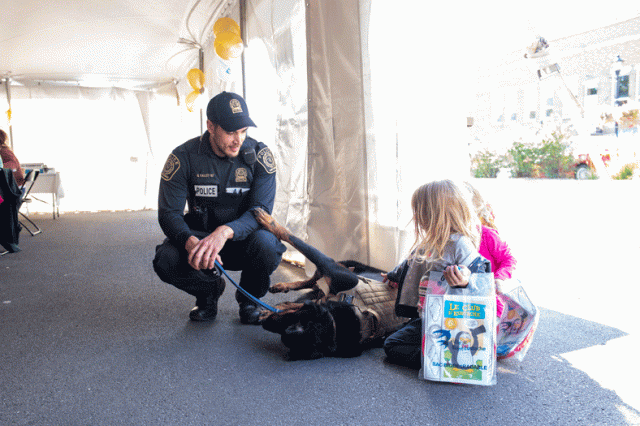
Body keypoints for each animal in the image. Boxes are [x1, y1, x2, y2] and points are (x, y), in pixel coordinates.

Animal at [251, 208, 404, 362]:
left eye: (286, 330)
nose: (266, 323)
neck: (336, 325)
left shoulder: (327, 278)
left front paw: (272, 311)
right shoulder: (332, 269)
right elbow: (292, 237)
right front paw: (268, 220)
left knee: (311, 288)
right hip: (342, 265)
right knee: (312, 280)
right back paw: (282, 286)